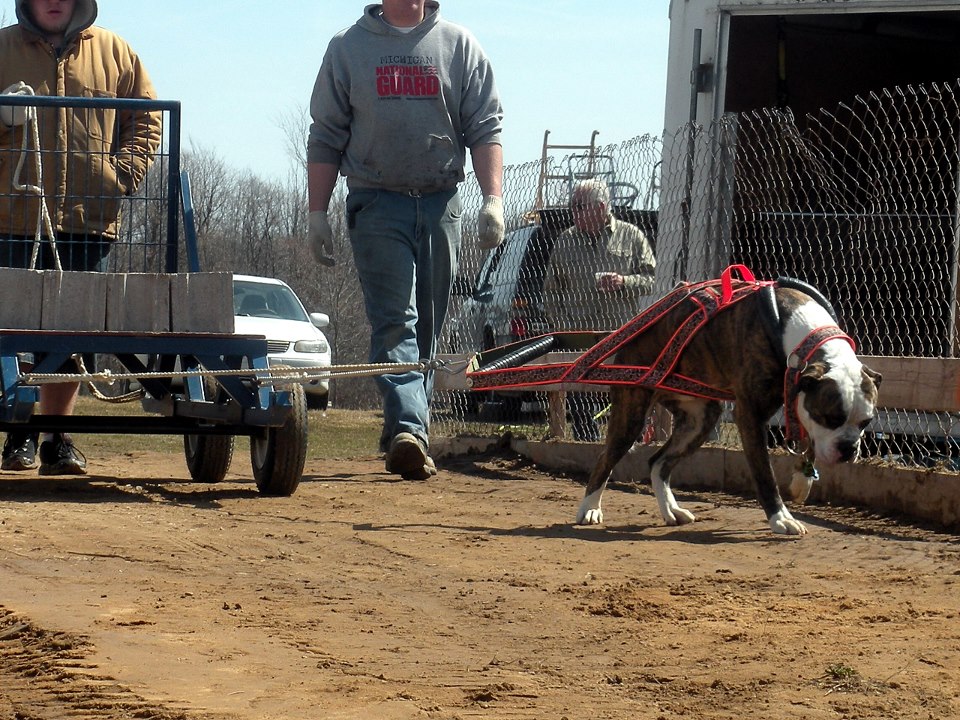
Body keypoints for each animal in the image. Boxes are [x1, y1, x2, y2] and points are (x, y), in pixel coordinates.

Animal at [576, 280, 884, 536]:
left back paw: (671, 511)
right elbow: (765, 475)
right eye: (830, 418)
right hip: (632, 411)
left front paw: (801, 480)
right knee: (606, 458)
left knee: (658, 462)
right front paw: (781, 518)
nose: (848, 448)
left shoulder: (796, 394)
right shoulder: (751, 416)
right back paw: (590, 508)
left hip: (699, 420)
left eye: (866, 422)